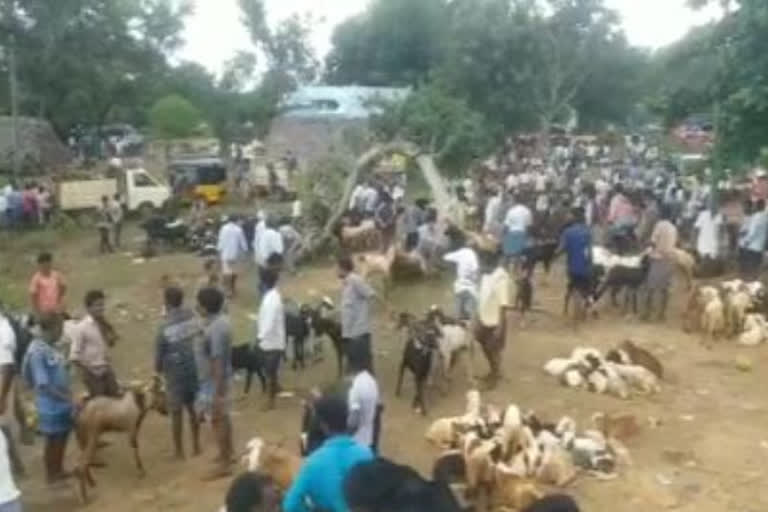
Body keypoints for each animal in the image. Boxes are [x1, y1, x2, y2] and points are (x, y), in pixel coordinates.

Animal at [75, 376, 168, 504]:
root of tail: (81, 413)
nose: (166, 411)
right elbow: (135, 448)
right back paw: (84, 497)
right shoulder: (131, 429)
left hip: (85, 439)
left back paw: (92, 483)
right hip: (93, 436)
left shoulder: (135, 429)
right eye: (161, 393)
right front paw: (141, 471)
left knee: (82, 460)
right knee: (82, 463)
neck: (139, 402)